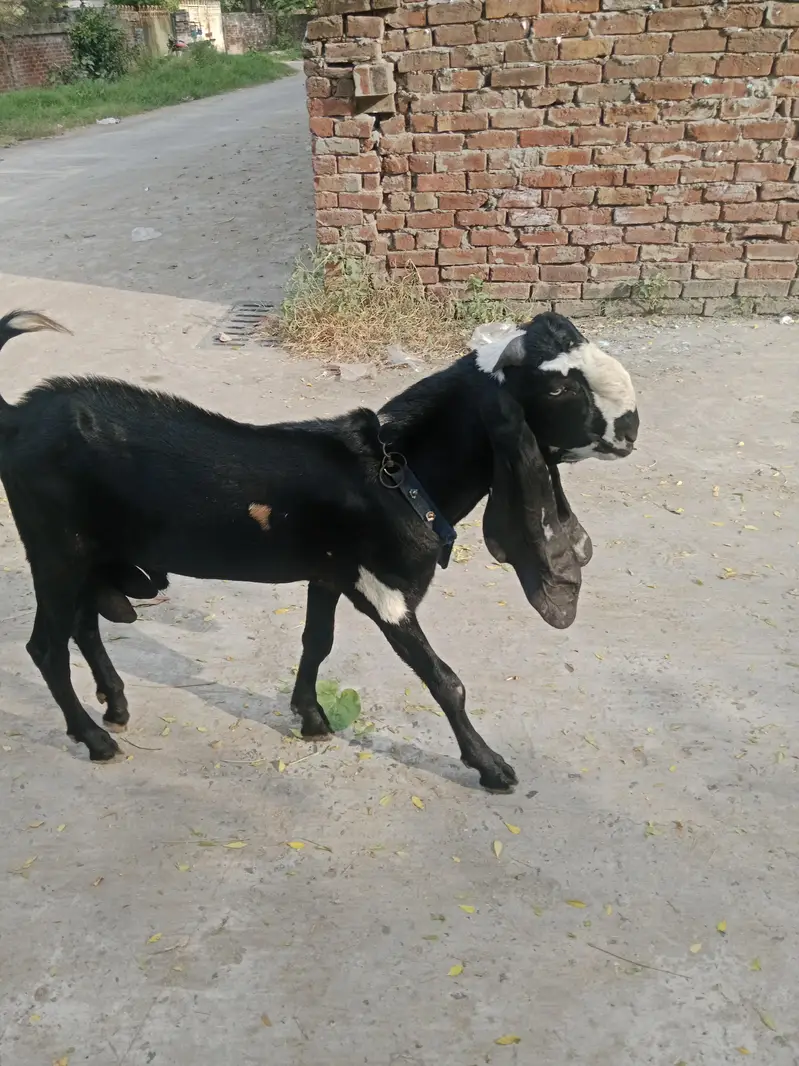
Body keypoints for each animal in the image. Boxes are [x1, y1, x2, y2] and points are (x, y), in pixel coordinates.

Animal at [0, 309, 638, 792]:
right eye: (558, 386)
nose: (631, 429)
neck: (399, 473)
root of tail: (17, 416)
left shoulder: (331, 574)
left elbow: (317, 642)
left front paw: (310, 717)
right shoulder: (385, 591)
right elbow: (446, 681)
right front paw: (492, 767)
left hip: (87, 552)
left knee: (84, 624)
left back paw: (115, 704)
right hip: (55, 549)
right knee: (46, 647)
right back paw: (96, 738)